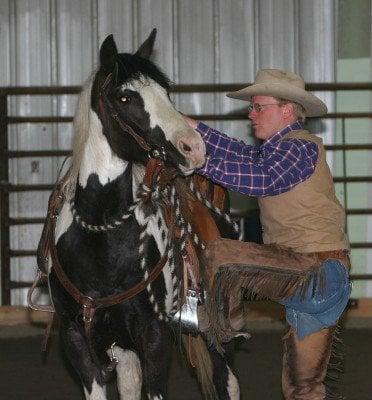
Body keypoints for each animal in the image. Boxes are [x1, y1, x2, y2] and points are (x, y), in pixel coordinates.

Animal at [48, 29, 238, 398]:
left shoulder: (154, 337)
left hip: (215, 328)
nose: (194, 148)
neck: (100, 237)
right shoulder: (76, 339)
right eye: (124, 97)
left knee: (228, 380)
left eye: (166, 92)